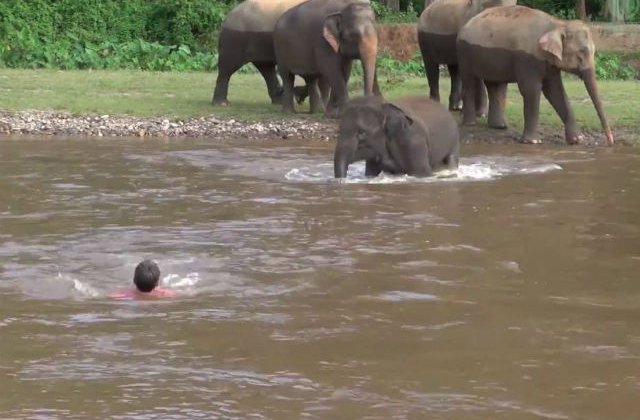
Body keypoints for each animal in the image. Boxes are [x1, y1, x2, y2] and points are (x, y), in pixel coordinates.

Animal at [457, 5, 614, 145]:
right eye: (581, 53)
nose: (611, 141)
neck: (557, 24)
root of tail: (464, 25)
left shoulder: (549, 62)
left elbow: (555, 92)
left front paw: (577, 140)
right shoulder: (527, 59)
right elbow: (531, 90)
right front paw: (533, 141)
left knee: (495, 85)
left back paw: (499, 126)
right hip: (465, 53)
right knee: (469, 82)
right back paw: (470, 123)